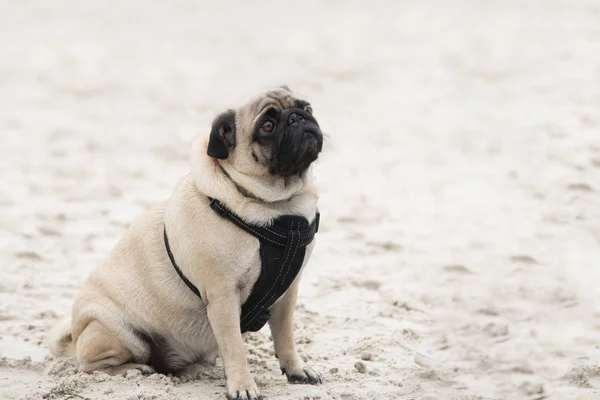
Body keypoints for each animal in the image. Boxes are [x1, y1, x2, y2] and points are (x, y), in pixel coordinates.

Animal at [48, 86, 324, 398]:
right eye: (267, 126)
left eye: (308, 108)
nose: (298, 118)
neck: (279, 208)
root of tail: (76, 334)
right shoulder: (223, 296)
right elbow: (235, 348)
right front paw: (242, 386)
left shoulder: (287, 292)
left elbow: (285, 336)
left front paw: (296, 369)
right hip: (118, 332)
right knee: (93, 367)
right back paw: (135, 369)